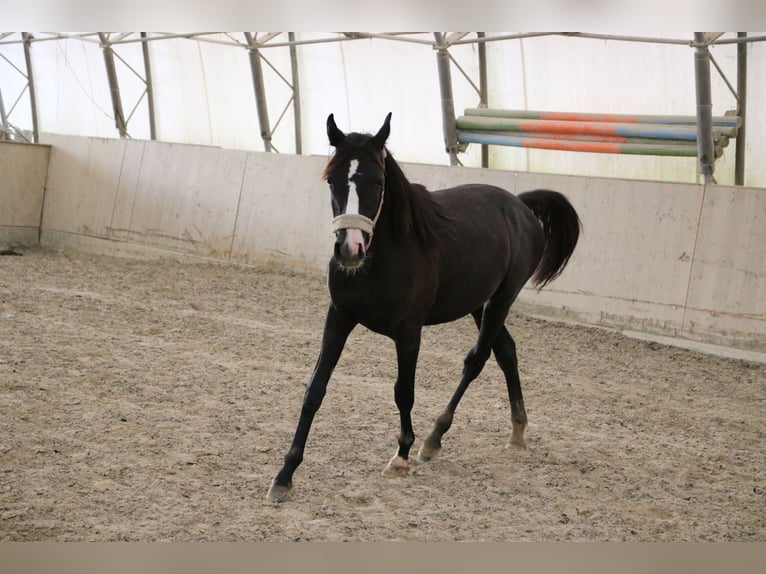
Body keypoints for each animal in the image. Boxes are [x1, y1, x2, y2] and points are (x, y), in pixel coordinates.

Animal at [268, 113, 580, 504]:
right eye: (331, 179)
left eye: (378, 181)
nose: (349, 249)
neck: (385, 257)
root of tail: (520, 206)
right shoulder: (339, 318)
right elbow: (315, 390)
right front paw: (285, 473)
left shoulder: (408, 333)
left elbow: (404, 391)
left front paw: (401, 455)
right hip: (478, 303)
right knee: (506, 352)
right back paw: (517, 430)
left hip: (501, 300)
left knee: (477, 360)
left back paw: (434, 438)